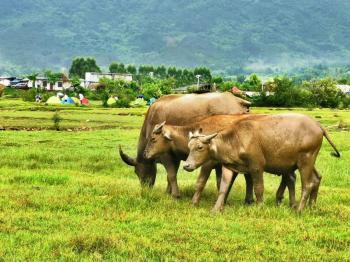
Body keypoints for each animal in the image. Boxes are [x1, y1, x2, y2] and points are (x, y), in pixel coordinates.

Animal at [119, 92, 250, 196]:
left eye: (138, 172)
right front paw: (169, 191)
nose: (145, 189)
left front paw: (174, 194)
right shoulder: (175, 155)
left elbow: (171, 174)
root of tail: (238, 101)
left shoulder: (165, 155)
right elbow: (171, 175)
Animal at [185, 113, 340, 212]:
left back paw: (299, 209)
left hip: (306, 161)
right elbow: (223, 187)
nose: (187, 165)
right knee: (316, 178)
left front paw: (259, 206)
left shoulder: (256, 166)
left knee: (307, 184)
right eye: (189, 146)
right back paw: (311, 206)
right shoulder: (229, 167)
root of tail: (318, 126)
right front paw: (216, 209)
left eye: (200, 147)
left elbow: (258, 188)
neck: (236, 139)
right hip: (307, 162)